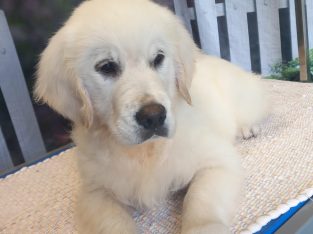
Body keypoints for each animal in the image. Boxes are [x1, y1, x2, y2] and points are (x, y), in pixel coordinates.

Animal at [35, 0, 266, 233]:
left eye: (158, 59)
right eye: (107, 66)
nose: (154, 116)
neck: (146, 152)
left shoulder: (217, 162)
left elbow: (200, 200)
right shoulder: (95, 191)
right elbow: (113, 221)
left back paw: (249, 128)